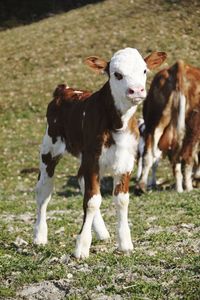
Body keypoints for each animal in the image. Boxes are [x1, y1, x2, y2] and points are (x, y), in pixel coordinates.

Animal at [33, 47, 166, 258]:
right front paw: (81, 246)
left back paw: (102, 232)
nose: (136, 90)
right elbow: (92, 200)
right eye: (117, 74)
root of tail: (65, 90)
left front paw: (125, 242)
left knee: (81, 180)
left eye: (144, 70)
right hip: (50, 148)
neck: (117, 123)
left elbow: (120, 200)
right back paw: (39, 236)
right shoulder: (92, 159)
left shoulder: (125, 161)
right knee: (44, 190)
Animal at [138, 59, 200, 193]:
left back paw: (142, 186)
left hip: (153, 122)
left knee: (148, 155)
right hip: (194, 127)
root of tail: (180, 65)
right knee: (187, 156)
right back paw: (188, 188)